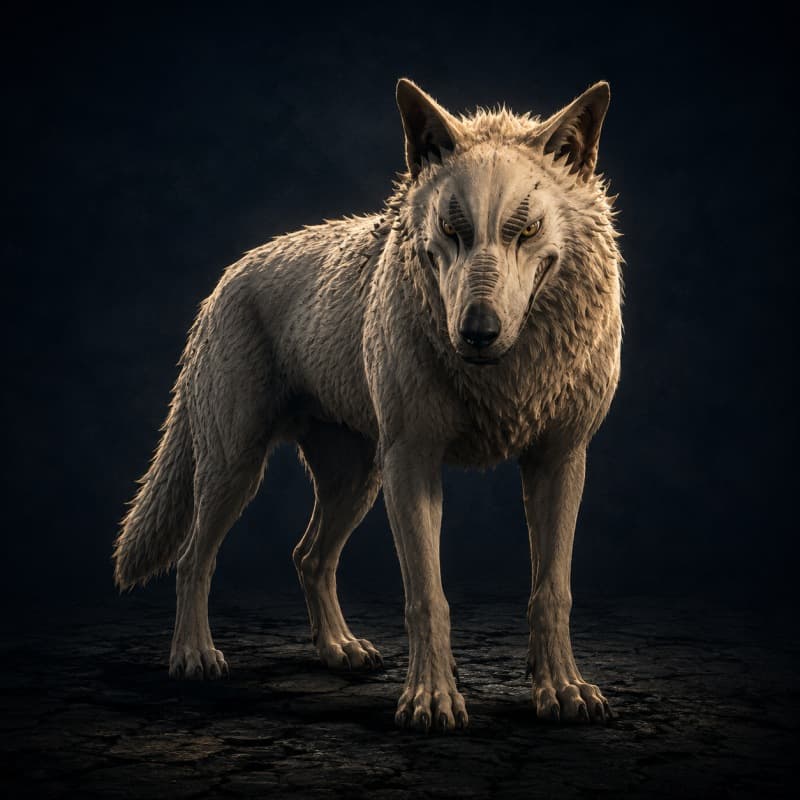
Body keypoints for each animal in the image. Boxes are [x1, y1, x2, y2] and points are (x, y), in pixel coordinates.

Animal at [113, 78, 622, 732]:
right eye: (452, 229)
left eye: (526, 229)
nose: (476, 333)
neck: (505, 377)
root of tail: (228, 276)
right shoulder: (413, 465)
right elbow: (427, 597)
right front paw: (431, 700)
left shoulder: (558, 460)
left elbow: (551, 592)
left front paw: (561, 689)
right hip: (238, 469)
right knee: (193, 559)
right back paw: (194, 655)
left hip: (355, 481)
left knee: (308, 556)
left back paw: (338, 650)